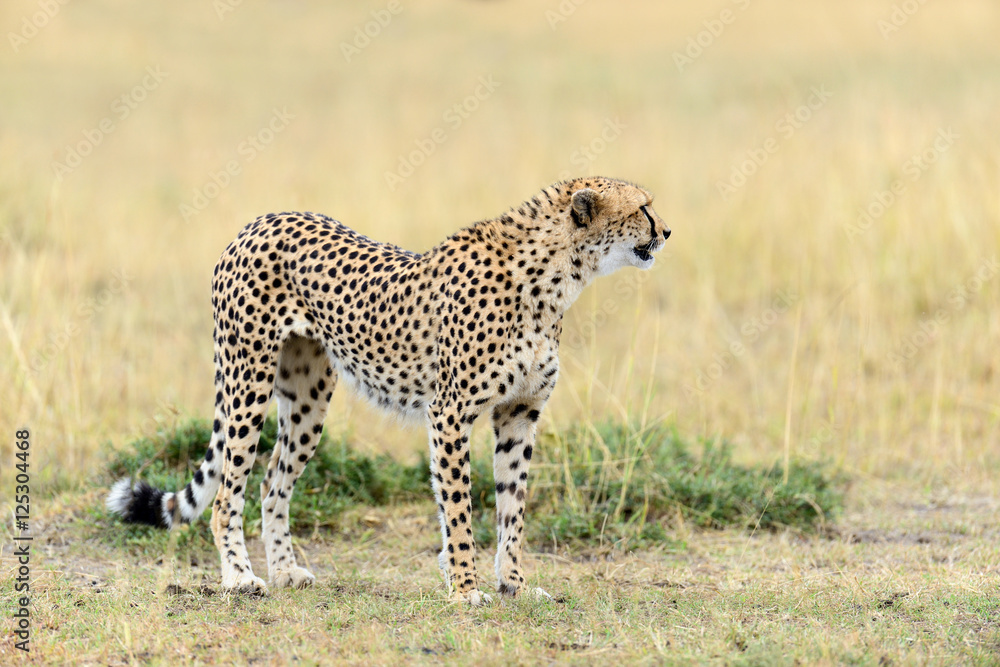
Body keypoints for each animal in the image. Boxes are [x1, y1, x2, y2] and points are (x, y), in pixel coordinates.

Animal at [107, 176, 670, 604]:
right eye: (642, 206)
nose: (667, 230)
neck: (553, 279)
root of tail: (260, 220)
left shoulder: (519, 412)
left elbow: (513, 508)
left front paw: (514, 585)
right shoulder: (450, 413)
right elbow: (459, 509)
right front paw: (465, 589)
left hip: (309, 398)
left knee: (272, 482)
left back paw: (285, 571)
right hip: (247, 379)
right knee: (227, 492)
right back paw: (241, 578)